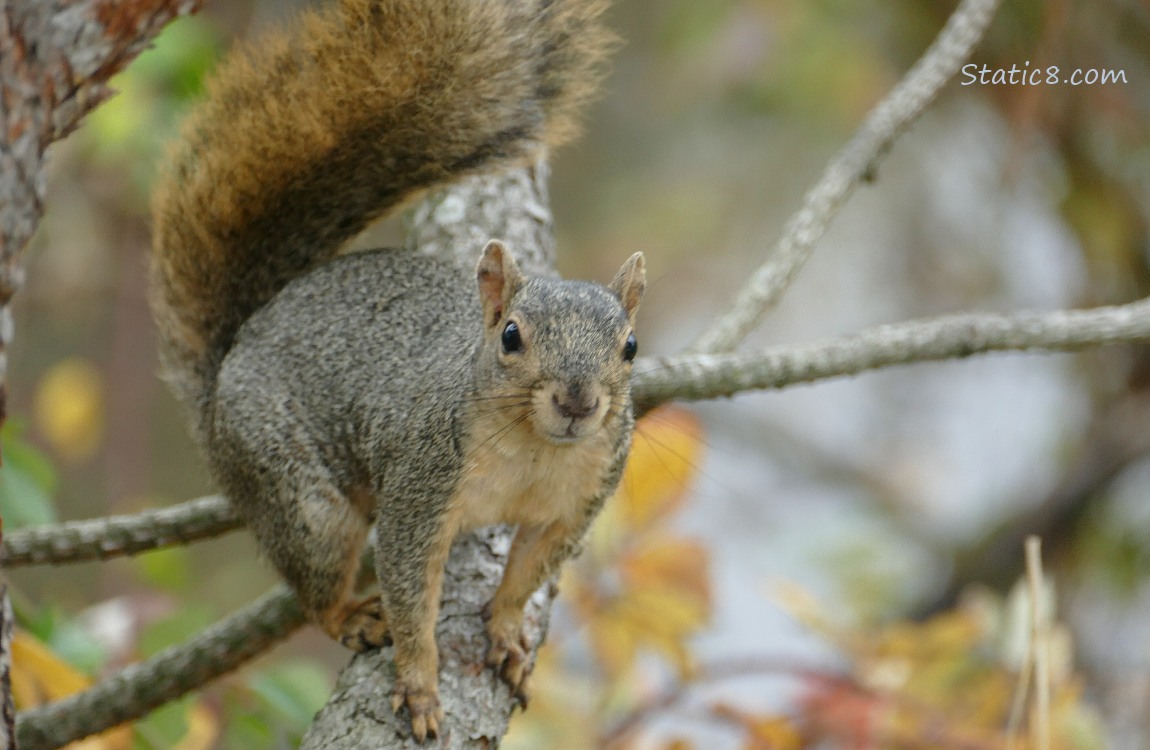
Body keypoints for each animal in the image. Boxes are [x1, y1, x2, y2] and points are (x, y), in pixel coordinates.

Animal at [149, 0, 643, 742]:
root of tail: (232, 358)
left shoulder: (577, 501)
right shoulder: (420, 487)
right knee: (318, 580)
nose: (579, 402)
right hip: (301, 497)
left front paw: (505, 634)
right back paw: (351, 614)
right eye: (510, 336)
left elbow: (527, 575)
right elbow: (411, 596)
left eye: (630, 347)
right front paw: (419, 686)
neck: (532, 452)